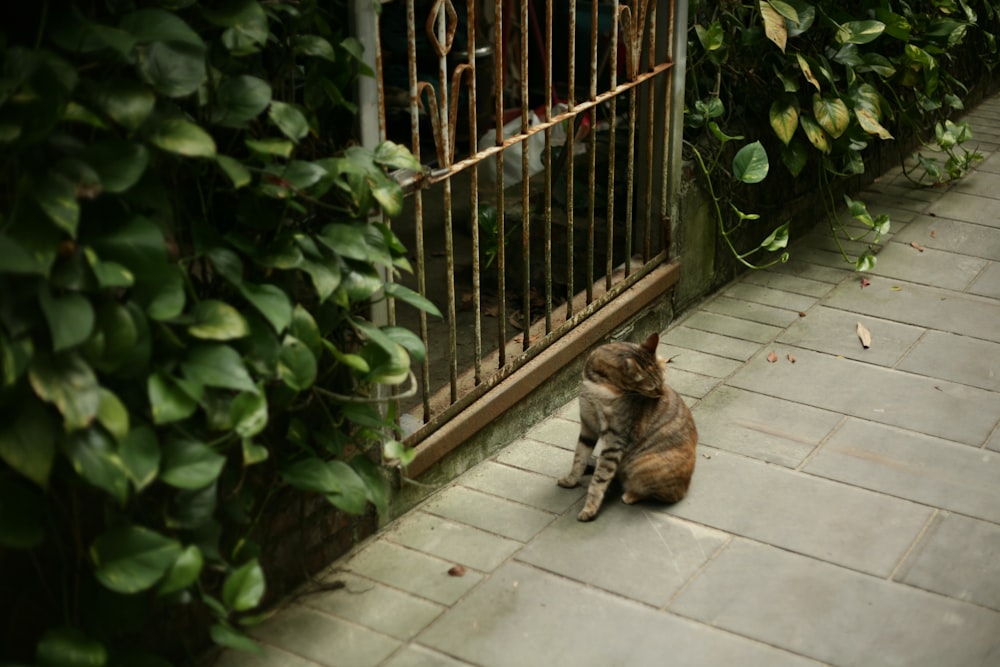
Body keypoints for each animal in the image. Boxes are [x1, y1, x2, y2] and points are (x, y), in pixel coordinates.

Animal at [560, 332, 700, 520]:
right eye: (653, 388)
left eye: (663, 381)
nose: (662, 393)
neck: (598, 385)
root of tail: (687, 485)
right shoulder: (588, 424)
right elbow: (579, 458)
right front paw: (572, 480)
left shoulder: (615, 437)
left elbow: (600, 478)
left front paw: (590, 508)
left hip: (643, 465)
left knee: (663, 494)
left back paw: (630, 494)